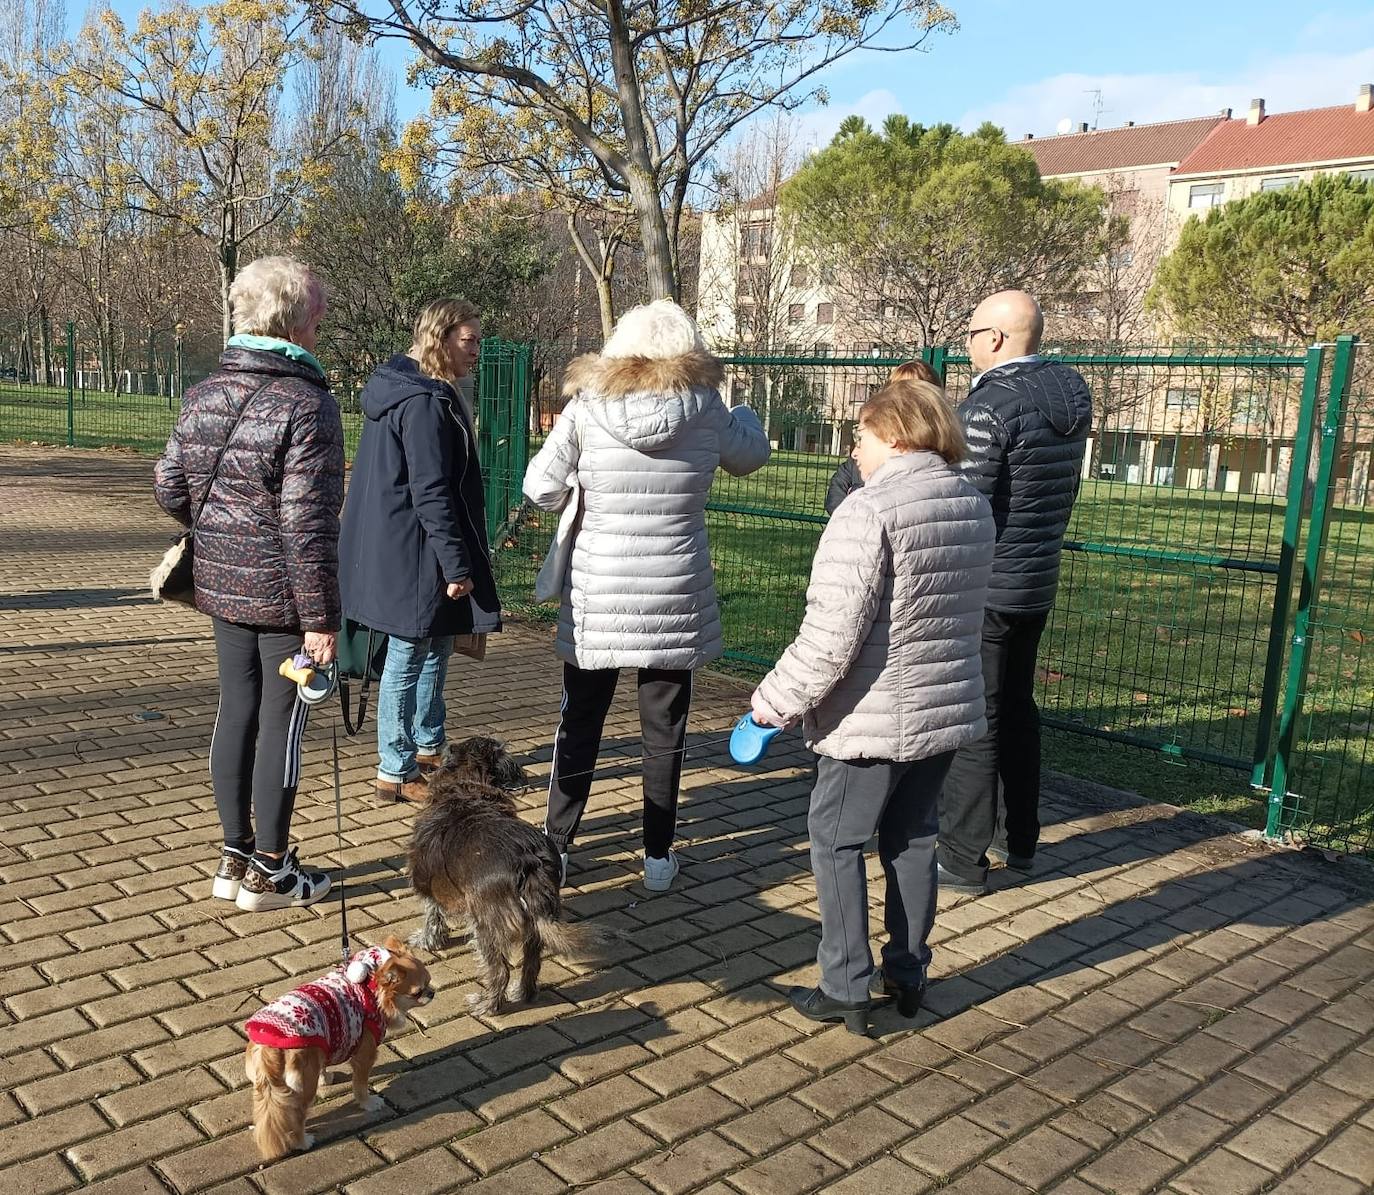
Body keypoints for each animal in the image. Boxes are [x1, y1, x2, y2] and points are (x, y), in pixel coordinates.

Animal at [244, 939, 431, 1164]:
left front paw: (326, 1078)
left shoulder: (326, 1041)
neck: (371, 987)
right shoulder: (364, 1055)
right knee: (297, 1117)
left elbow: (324, 1065)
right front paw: (369, 1103)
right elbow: (360, 1086)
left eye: (429, 982)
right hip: (303, 1086)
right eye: (417, 992)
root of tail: (269, 1049)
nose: (432, 992)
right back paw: (302, 1142)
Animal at [409, 741, 599, 1010]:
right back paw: (523, 993)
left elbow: (432, 914)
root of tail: (529, 862)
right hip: (535, 925)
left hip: (486, 923)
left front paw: (426, 940)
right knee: (532, 964)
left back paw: (488, 1004)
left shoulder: (426, 881)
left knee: (499, 970)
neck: (467, 789)